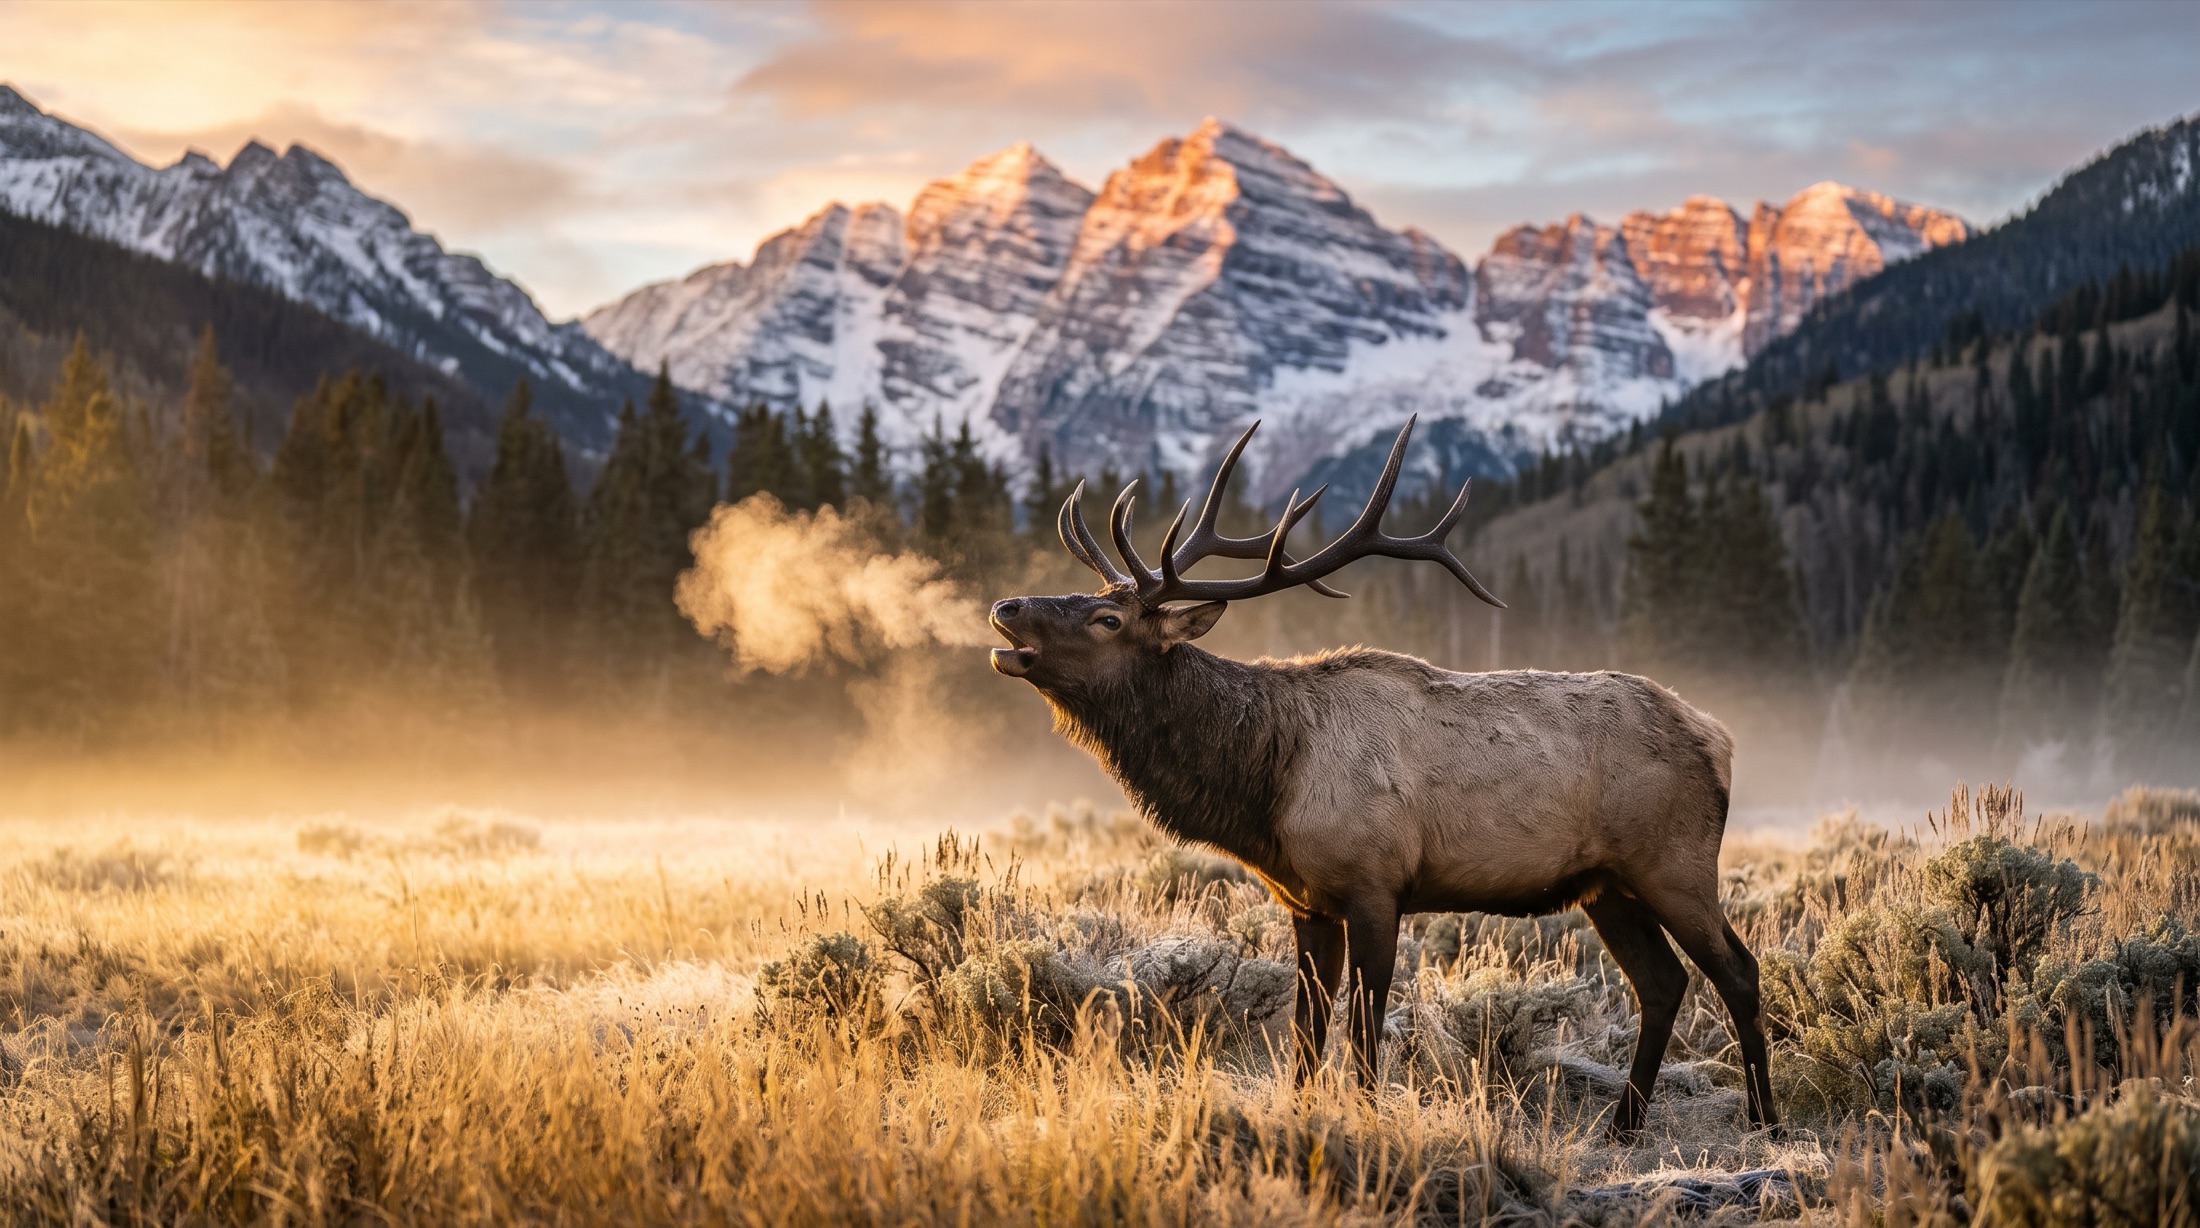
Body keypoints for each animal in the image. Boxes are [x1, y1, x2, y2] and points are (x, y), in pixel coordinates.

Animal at [986, 417, 1775, 1138]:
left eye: (1107, 617)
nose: (1006, 605)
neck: (1269, 784)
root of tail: (1719, 737)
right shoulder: (1306, 902)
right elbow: (1307, 1031)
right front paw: (1306, 1113)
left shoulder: (1376, 884)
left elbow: (1364, 1027)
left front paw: (1364, 1118)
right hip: (1608, 884)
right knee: (1664, 983)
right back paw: (1624, 1124)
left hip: (1673, 861)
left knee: (1737, 970)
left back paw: (1764, 1119)